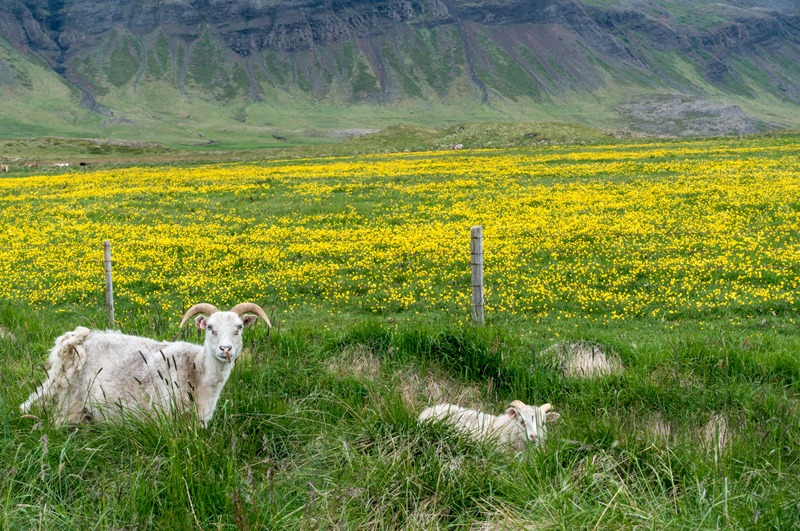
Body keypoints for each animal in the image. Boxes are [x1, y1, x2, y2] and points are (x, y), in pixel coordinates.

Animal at [20, 302, 271, 427]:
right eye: (209, 327)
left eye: (239, 327)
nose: (225, 349)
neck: (197, 370)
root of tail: (78, 340)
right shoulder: (163, 416)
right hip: (69, 400)